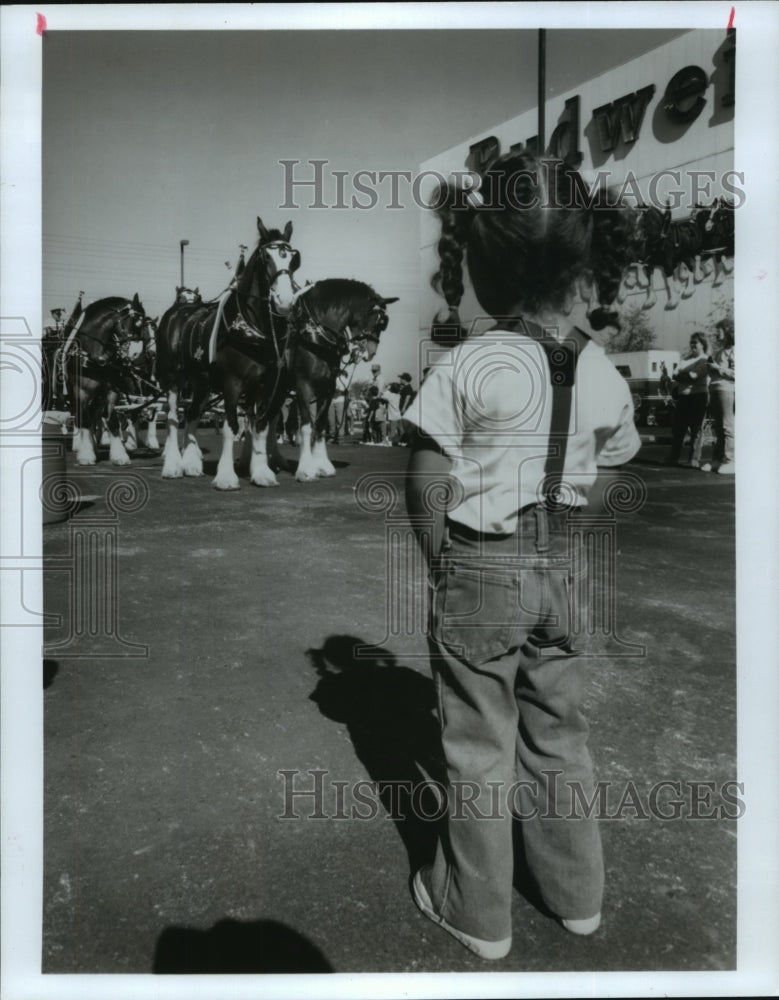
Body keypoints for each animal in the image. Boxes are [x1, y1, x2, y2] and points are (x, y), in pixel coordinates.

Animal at [154, 217, 300, 490]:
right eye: (266, 257)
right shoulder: (233, 383)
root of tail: (177, 311)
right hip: (173, 379)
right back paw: (173, 465)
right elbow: (231, 427)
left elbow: (260, 427)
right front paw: (226, 476)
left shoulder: (265, 386)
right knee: (172, 417)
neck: (249, 327)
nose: (285, 301)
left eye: (293, 259)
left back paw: (191, 464)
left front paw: (261, 471)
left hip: (202, 383)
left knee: (192, 414)